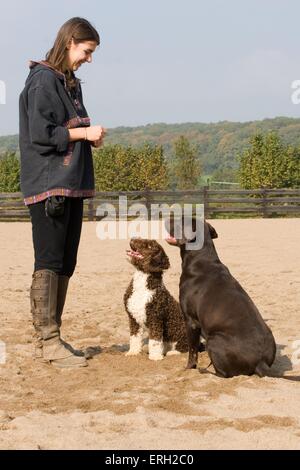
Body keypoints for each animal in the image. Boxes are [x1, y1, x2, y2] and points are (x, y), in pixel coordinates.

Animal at [165, 218, 276, 378]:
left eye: (181, 220)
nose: (166, 217)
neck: (201, 260)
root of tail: (261, 362)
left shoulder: (191, 321)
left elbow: (192, 351)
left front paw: (189, 368)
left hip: (213, 340)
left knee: (223, 374)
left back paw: (206, 370)